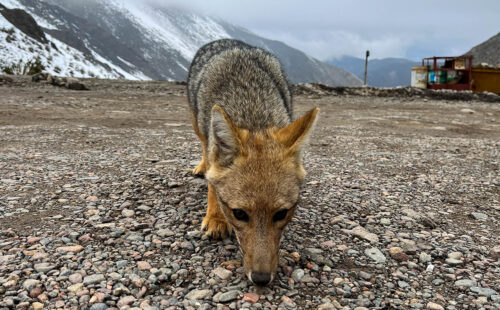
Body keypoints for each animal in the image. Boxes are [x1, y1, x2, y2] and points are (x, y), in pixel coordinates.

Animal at [186, 40, 318, 286]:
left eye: (281, 214)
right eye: (239, 214)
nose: (261, 279)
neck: (252, 111)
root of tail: (228, 42)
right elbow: (212, 185)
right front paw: (216, 218)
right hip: (198, 125)